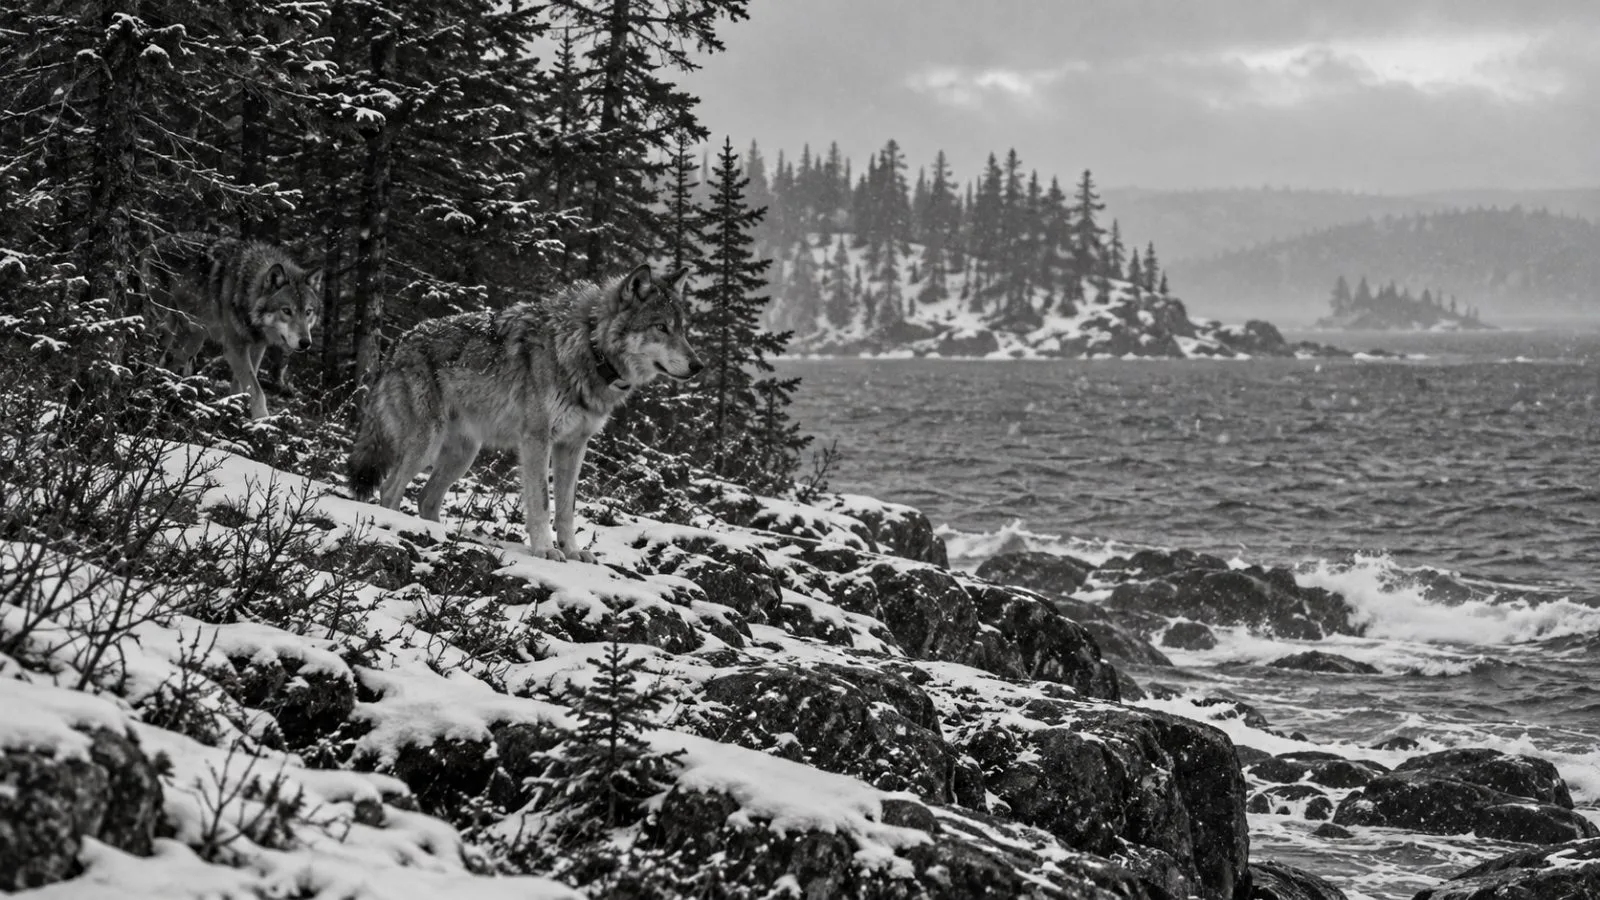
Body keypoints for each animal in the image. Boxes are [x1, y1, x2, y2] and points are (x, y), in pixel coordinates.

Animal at [142, 233, 322, 419]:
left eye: (308, 312)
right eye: (286, 310)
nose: (305, 343)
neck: (246, 289)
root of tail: (153, 244)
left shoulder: (257, 346)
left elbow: (241, 385)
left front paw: (234, 407)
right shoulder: (235, 347)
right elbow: (256, 389)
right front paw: (263, 420)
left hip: (194, 339)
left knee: (171, 360)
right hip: (170, 326)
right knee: (157, 353)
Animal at [346, 263, 702, 562]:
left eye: (683, 330)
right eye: (661, 327)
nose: (698, 365)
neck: (589, 345)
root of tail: (397, 344)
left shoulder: (574, 445)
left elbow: (567, 508)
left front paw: (574, 552)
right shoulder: (536, 439)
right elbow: (542, 502)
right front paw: (545, 550)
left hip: (463, 455)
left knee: (425, 499)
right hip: (427, 445)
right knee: (390, 491)